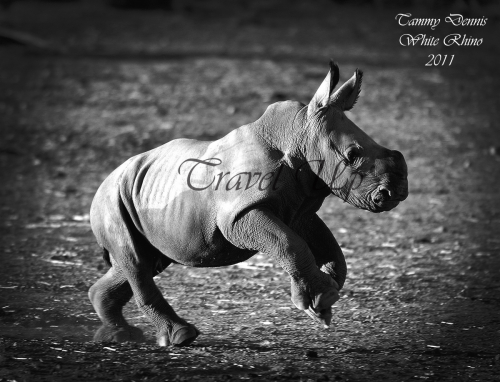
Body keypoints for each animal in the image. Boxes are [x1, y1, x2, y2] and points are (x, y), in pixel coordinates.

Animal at [90, 62, 408, 346]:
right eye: (352, 156)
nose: (396, 193)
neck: (298, 135)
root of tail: (105, 181)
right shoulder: (239, 214)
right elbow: (290, 243)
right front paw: (320, 298)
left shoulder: (299, 209)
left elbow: (329, 250)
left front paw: (322, 303)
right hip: (112, 200)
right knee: (137, 262)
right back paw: (180, 336)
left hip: (133, 196)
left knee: (142, 261)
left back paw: (119, 336)